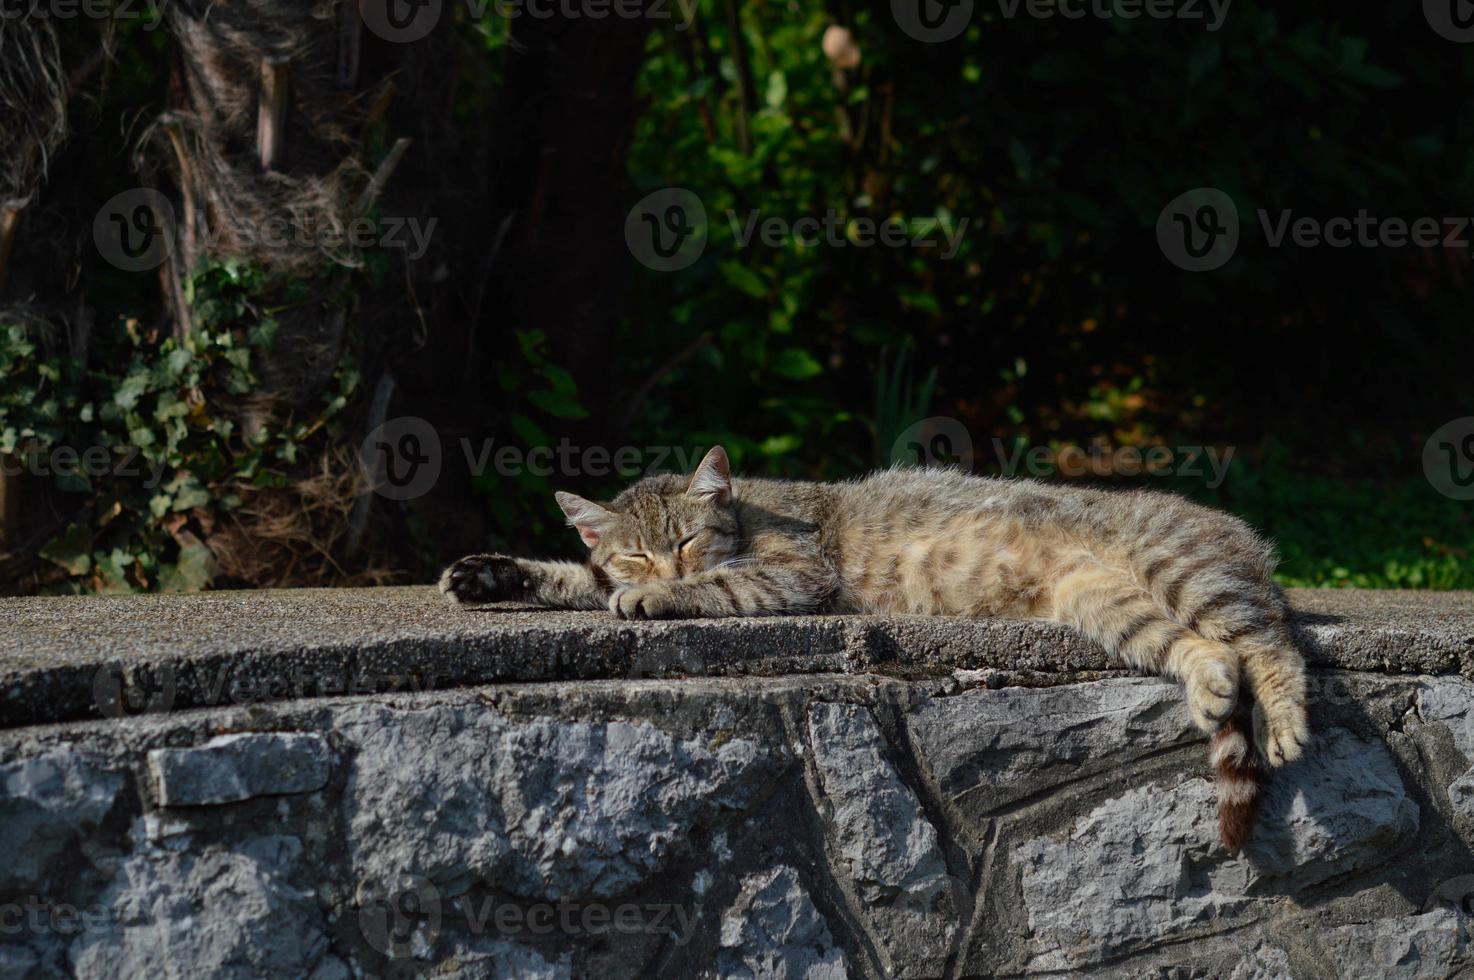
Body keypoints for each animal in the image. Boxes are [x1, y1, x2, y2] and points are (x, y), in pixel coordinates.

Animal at [439, 445, 1314, 848]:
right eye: (635, 551)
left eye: (685, 541)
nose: (660, 570)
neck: (748, 512)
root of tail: (1245, 537)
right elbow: (572, 577)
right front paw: (493, 573)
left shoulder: (796, 576)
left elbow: (718, 587)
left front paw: (663, 597)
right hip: (1109, 607)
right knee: (1213, 653)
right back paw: (1211, 687)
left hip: (1185, 572)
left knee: (1269, 642)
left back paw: (1285, 716)